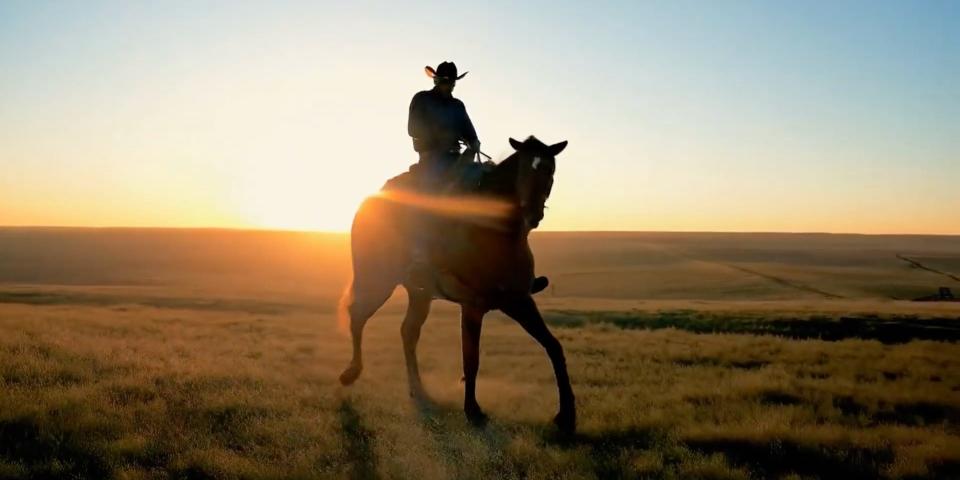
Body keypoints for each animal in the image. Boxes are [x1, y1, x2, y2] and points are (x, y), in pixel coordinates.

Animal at [340, 136, 576, 436]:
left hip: (420, 295)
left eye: (550, 171)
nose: (533, 215)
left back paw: (418, 390)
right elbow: (471, 358)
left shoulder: (519, 301)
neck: (497, 232)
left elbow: (554, 347)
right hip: (377, 281)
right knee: (358, 315)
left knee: (408, 332)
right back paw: (351, 373)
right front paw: (473, 411)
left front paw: (567, 416)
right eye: (524, 168)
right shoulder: (473, 306)